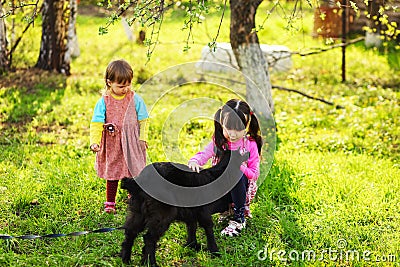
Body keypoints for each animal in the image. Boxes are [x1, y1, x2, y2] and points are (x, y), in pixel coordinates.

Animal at [120, 150, 248, 266]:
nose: (249, 153)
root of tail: (140, 179)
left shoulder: (192, 212)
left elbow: (192, 227)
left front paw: (192, 245)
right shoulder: (204, 212)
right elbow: (208, 229)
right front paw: (214, 251)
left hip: (138, 212)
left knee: (130, 232)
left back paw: (126, 259)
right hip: (162, 216)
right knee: (149, 239)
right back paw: (151, 263)